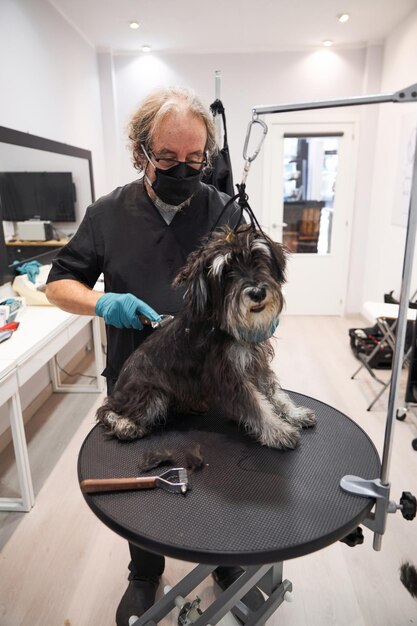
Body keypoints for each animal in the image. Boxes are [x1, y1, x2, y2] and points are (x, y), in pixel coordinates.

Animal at [96, 224, 316, 448]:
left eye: (257, 257)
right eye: (226, 271)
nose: (257, 293)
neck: (222, 323)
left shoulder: (256, 364)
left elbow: (274, 393)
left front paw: (295, 414)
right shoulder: (228, 376)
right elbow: (256, 405)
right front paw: (279, 430)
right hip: (152, 394)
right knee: (108, 409)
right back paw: (124, 425)